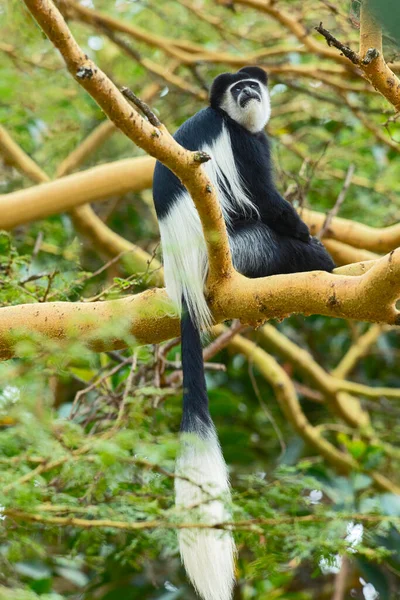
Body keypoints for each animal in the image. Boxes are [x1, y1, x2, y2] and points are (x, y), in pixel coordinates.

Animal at [153, 67, 334, 600]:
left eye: (252, 85)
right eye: (238, 90)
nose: (250, 90)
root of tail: (185, 277)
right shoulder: (246, 145)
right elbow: (269, 199)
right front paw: (309, 236)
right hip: (246, 249)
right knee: (272, 239)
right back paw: (314, 261)